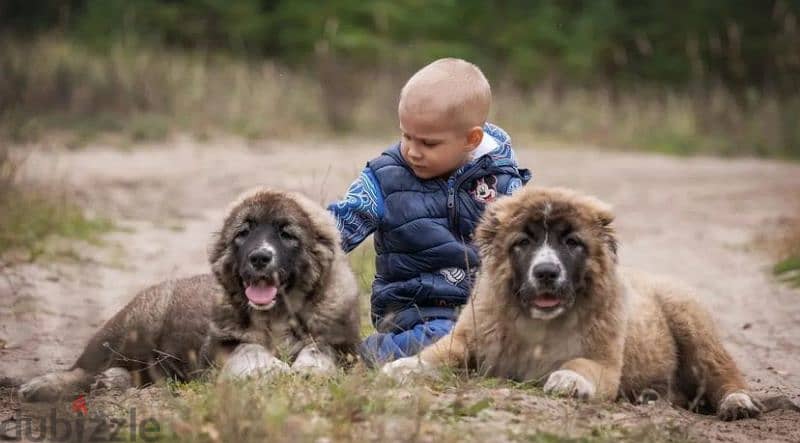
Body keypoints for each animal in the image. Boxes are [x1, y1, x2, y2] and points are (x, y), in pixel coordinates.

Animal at [19, 189, 360, 404]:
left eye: (286, 234)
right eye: (243, 233)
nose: (260, 258)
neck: (276, 317)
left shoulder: (341, 344)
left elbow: (319, 349)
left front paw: (309, 370)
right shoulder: (221, 347)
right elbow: (249, 350)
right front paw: (273, 369)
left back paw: (114, 380)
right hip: (130, 328)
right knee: (83, 368)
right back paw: (44, 385)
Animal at [388, 186, 764, 422]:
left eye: (572, 242)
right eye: (523, 242)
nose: (546, 272)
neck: (539, 323)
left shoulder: (603, 362)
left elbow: (581, 364)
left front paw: (568, 380)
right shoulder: (472, 335)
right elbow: (440, 352)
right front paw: (404, 367)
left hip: (692, 326)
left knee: (724, 372)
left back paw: (738, 403)